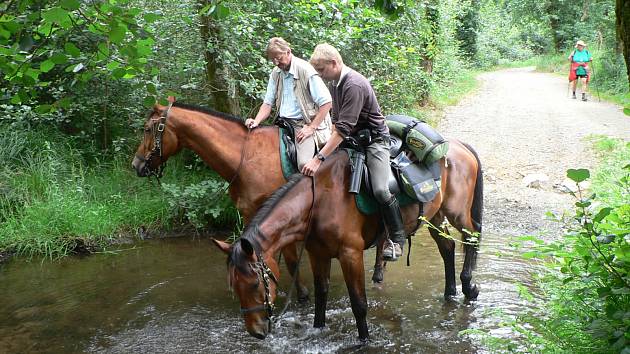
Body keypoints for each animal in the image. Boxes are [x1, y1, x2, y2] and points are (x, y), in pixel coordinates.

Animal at [131, 99, 312, 302]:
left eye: (147, 129)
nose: (136, 165)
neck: (248, 157)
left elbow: (291, 261)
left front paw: (302, 296)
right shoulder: (250, 215)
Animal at [212, 140, 484, 340]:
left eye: (254, 284)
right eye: (234, 287)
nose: (256, 332)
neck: (318, 202)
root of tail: (459, 146)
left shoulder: (350, 254)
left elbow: (359, 303)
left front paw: (364, 340)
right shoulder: (317, 254)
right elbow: (321, 296)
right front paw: (319, 329)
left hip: (457, 213)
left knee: (471, 237)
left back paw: (469, 287)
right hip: (434, 215)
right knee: (447, 246)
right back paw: (450, 293)